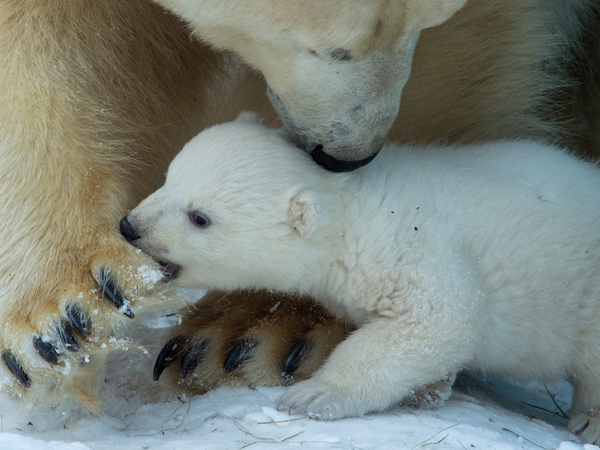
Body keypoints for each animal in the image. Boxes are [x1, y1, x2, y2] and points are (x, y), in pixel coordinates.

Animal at [126, 114, 600, 444]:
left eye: (199, 217)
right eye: (168, 177)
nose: (129, 226)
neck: (355, 203)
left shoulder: (408, 248)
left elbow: (436, 318)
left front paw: (313, 395)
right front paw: (429, 390)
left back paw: (588, 420)